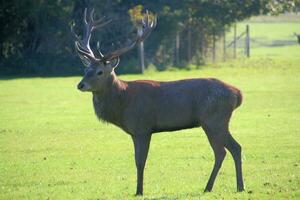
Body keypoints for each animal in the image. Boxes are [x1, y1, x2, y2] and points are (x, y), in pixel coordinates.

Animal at [71, 8, 245, 195]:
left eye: (100, 72)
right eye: (86, 69)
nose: (80, 84)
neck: (123, 104)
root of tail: (238, 94)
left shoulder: (143, 127)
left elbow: (140, 161)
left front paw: (139, 191)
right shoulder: (134, 132)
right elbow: (137, 160)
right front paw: (138, 190)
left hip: (215, 120)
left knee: (231, 148)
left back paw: (237, 187)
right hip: (212, 122)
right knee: (224, 151)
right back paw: (211, 188)